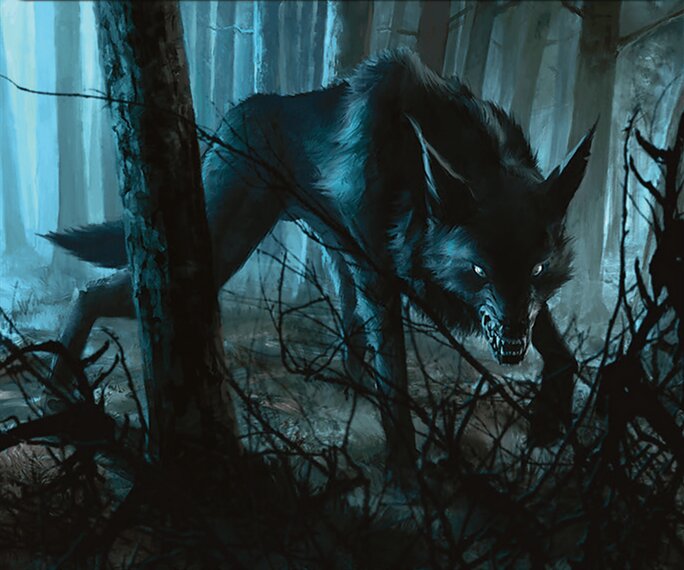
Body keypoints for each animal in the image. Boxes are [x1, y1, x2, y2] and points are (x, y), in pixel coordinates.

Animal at [46, 51, 593, 472]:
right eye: (477, 270)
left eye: (538, 268)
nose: (514, 340)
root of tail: (238, 111)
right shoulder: (381, 280)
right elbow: (396, 381)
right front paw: (406, 472)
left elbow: (560, 349)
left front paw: (548, 422)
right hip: (220, 247)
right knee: (90, 292)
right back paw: (59, 394)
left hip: (321, 256)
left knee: (349, 331)